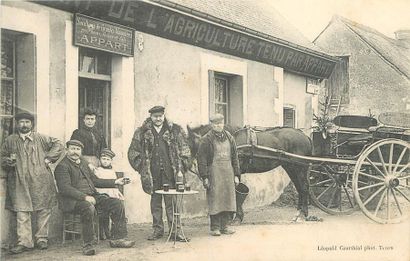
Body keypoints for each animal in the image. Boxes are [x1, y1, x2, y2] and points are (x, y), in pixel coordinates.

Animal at [187, 124, 316, 221]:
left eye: (191, 144)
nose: (188, 165)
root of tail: (305, 136)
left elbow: (235, 192)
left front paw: (235, 217)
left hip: (299, 168)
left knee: (304, 188)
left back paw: (303, 213)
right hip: (291, 168)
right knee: (300, 188)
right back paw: (298, 214)